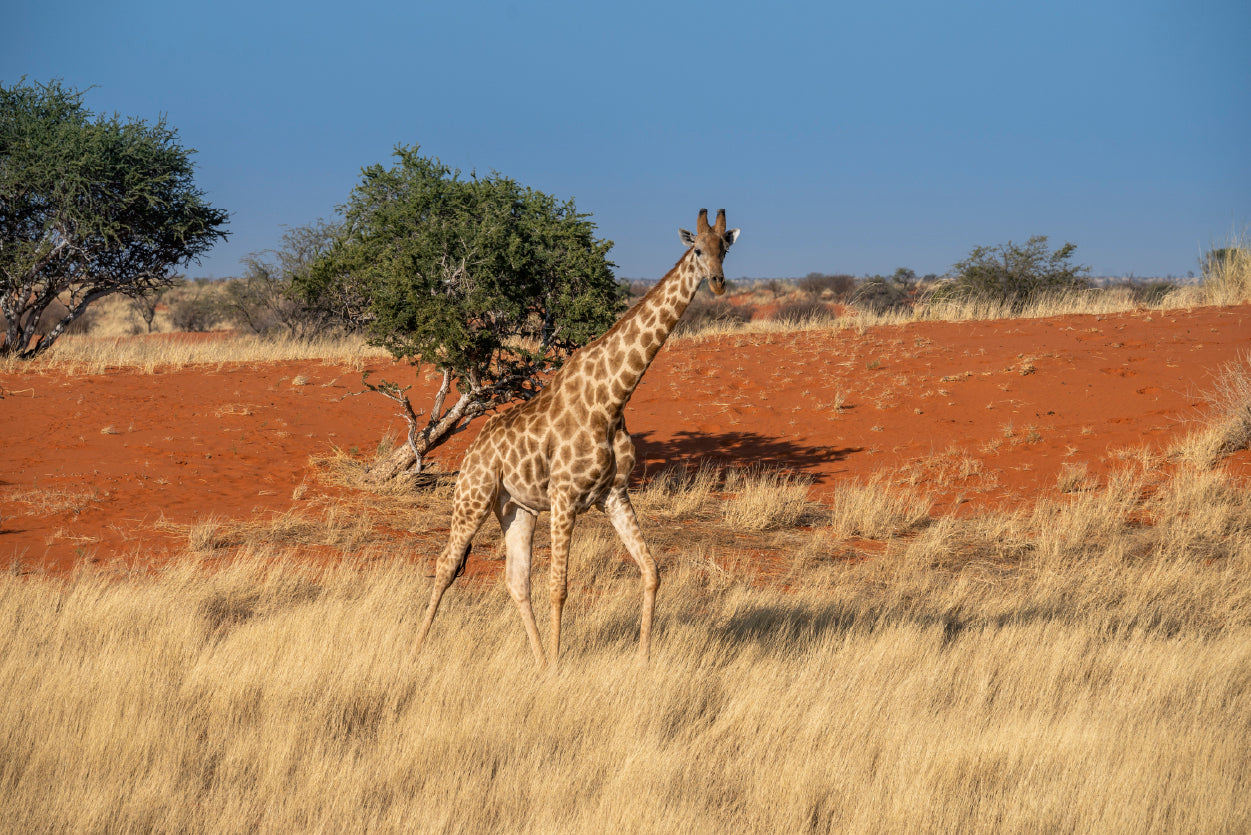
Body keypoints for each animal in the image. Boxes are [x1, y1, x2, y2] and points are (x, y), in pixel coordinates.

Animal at [415, 209, 735, 665]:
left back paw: (536, 659)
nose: (718, 281)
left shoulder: (614, 495)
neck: (613, 399)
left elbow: (652, 571)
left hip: (516, 507)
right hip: (472, 496)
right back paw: (417, 650)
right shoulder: (564, 496)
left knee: (516, 580)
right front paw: (558, 667)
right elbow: (559, 588)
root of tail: (473, 450)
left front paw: (643, 660)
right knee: (446, 565)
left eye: (725, 248)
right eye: (696, 251)